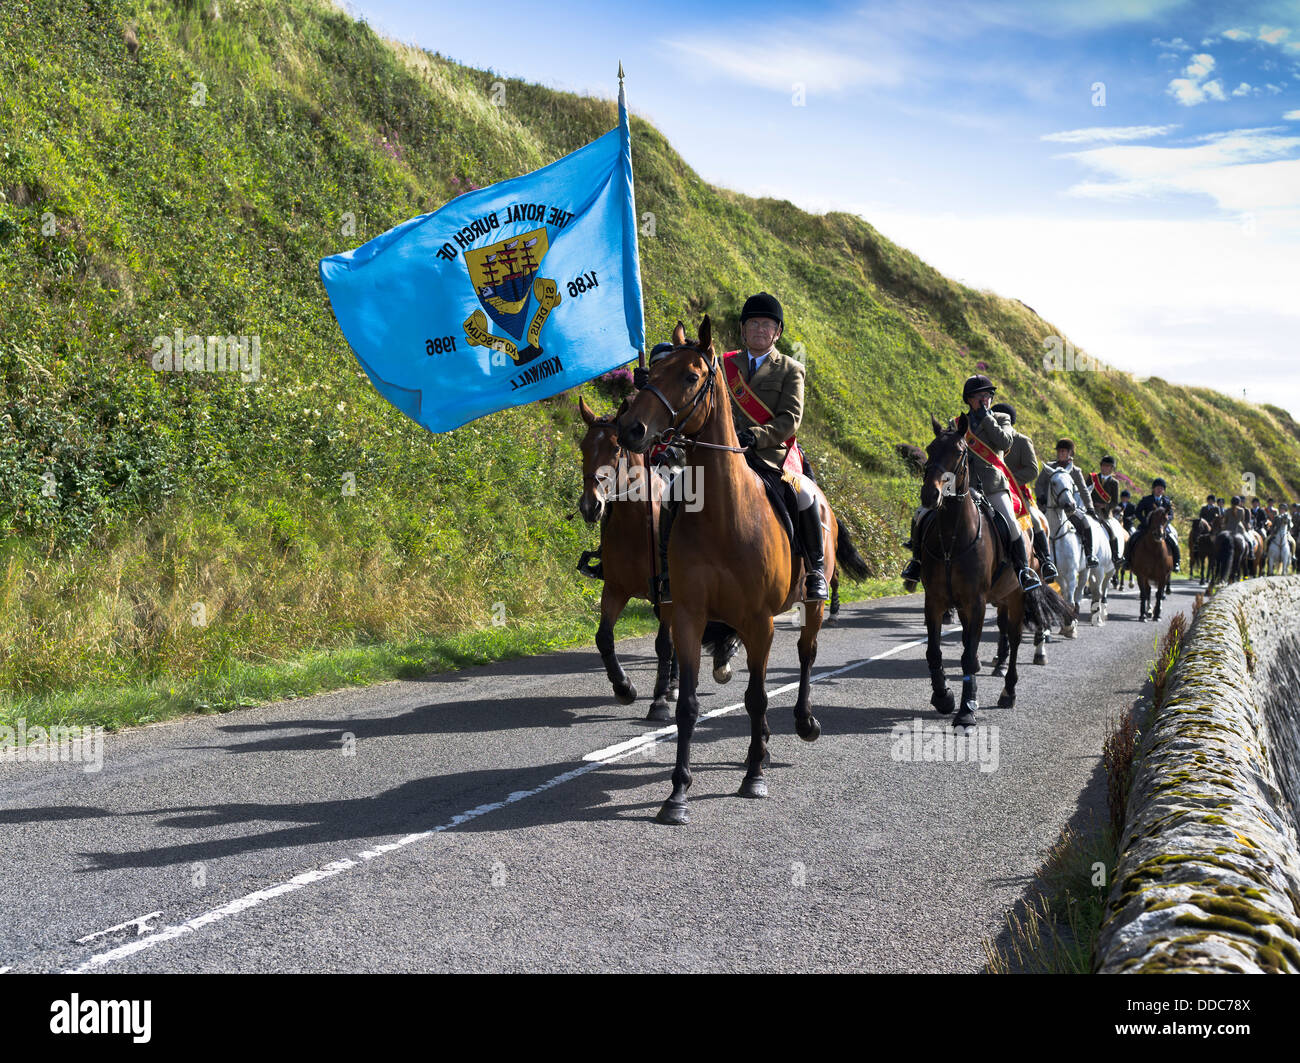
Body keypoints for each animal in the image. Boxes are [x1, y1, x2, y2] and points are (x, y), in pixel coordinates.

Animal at [616, 314, 868, 821]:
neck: (723, 514)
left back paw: (802, 723)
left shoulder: (759, 620)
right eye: (651, 373)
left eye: (690, 376)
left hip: (810, 602)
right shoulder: (689, 616)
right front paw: (677, 794)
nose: (632, 430)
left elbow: (755, 696)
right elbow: (688, 705)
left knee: (805, 655)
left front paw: (753, 777)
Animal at [915, 413, 1066, 727]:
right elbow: (934, 651)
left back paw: (1008, 691)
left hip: (1017, 596)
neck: (952, 539)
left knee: (1015, 638)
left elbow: (969, 656)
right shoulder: (935, 600)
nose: (930, 494)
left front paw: (967, 708)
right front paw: (943, 696)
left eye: (960, 451)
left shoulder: (977, 602)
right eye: (930, 448)